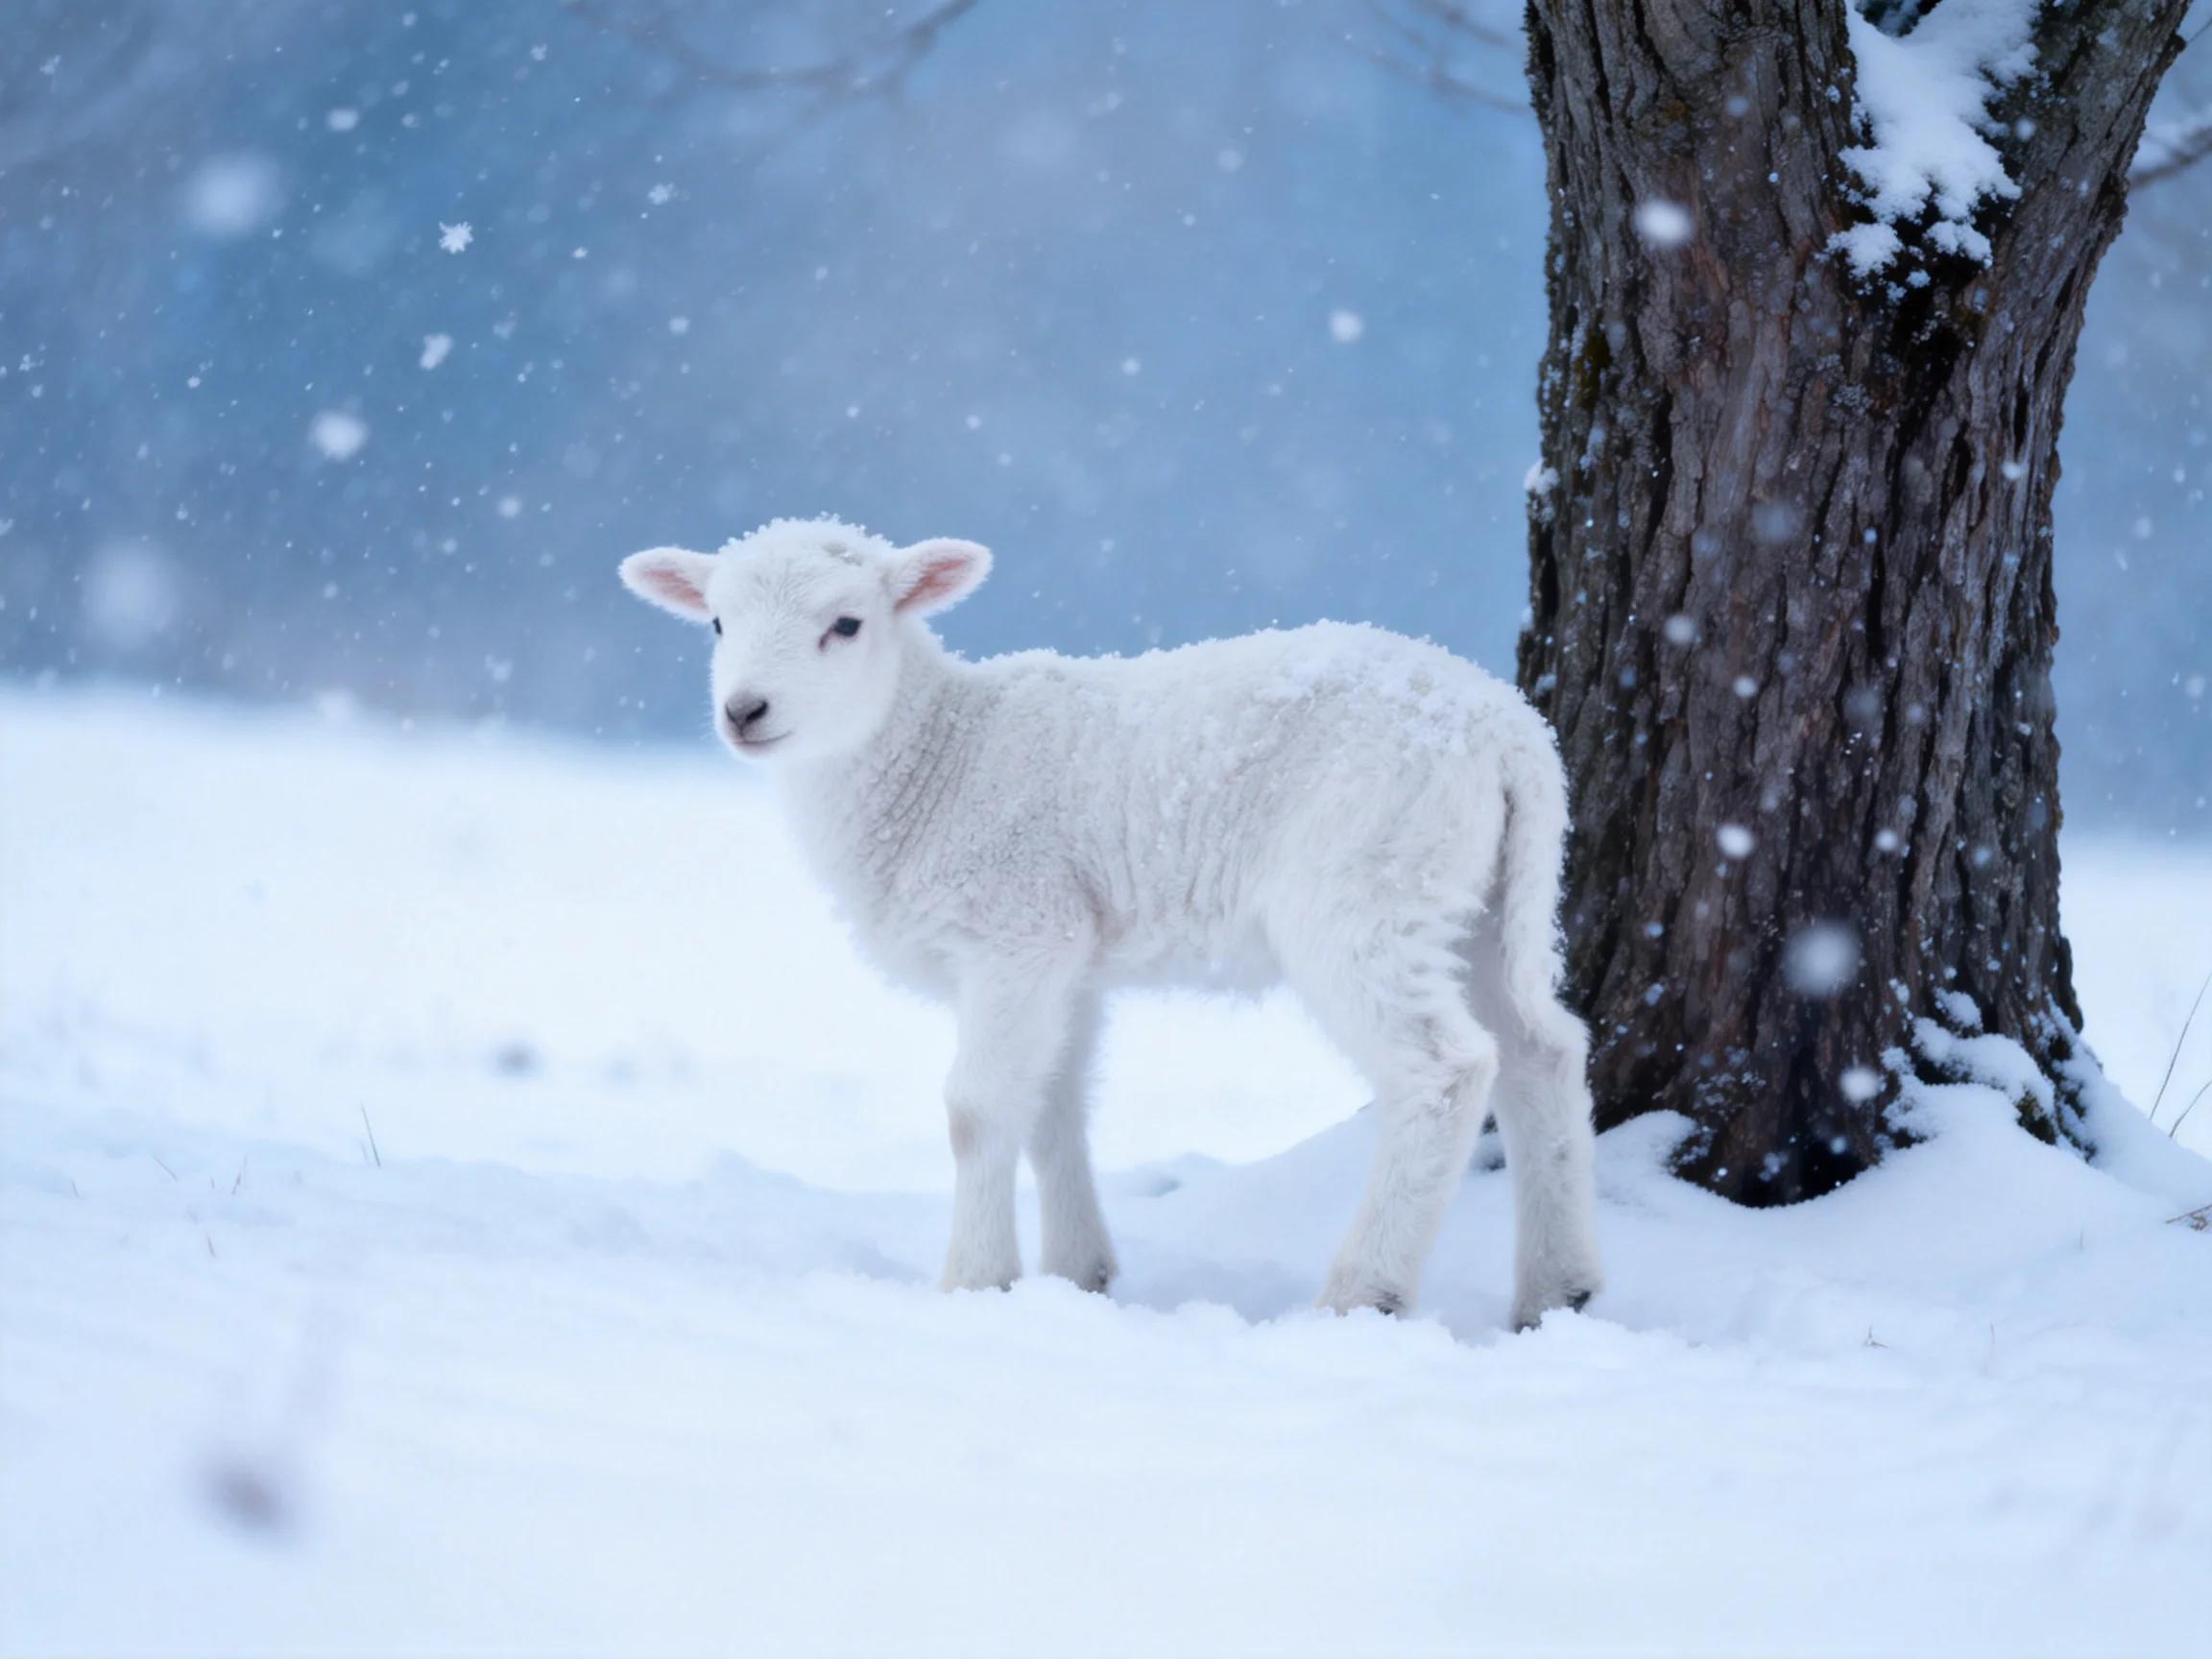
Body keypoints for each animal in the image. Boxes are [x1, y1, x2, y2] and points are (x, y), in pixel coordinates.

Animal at [619, 517, 1603, 1327]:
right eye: (716, 624)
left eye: (848, 624)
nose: (744, 711)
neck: (939, 755)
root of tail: (1510, 733)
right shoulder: (1071, 958)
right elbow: (1054, 1106)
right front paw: (1076, 1275)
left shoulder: (1017, 929)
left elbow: (977, 1108)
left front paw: (973, 1282)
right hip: (1479, 898)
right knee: (1542, 1050)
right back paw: (1559, 1291)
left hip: (1367, 886)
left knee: (1445, 1070)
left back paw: (1363, 1293)